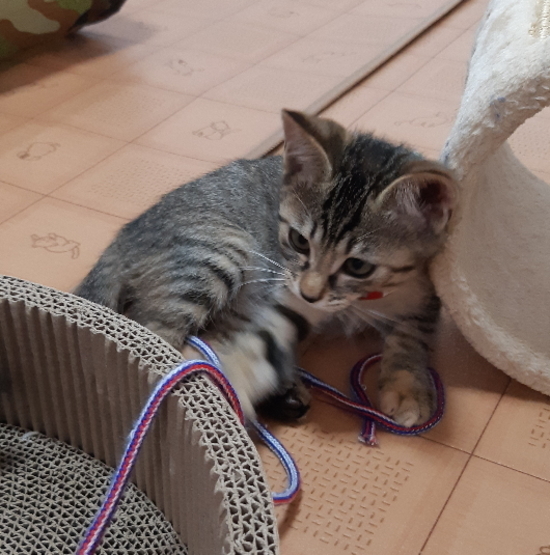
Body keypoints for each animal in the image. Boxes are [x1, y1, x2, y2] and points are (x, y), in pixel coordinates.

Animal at [75, 109, 457, 426]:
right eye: (299, 241)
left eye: (358, 266)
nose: (310, 293)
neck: (362, 300)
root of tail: (125, 234)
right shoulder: (287, 289)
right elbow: (264, 337)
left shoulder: (425, 294)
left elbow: (412, 337)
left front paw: (408, 387)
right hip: (218, 253)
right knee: (155, 337)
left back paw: (283, 395)